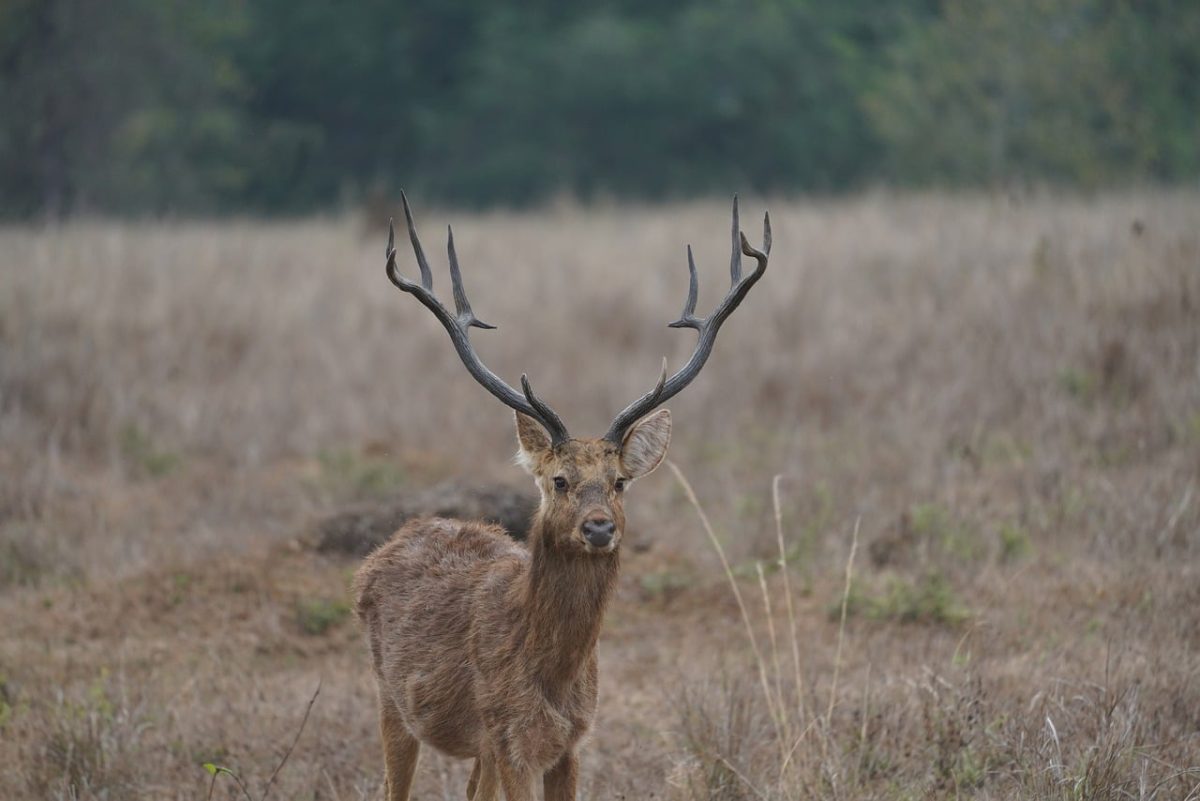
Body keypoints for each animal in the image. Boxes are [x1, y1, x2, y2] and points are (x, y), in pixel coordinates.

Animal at [354, 192, 770, 801]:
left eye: (619, 481)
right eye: (559, 480)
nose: (599, 527)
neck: (551, 676)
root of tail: (385, 548)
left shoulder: (570, 740)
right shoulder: (509, 738)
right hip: (391, 699)